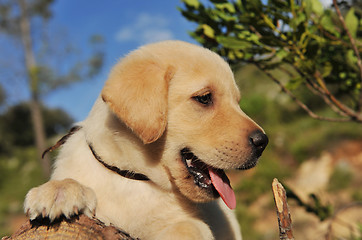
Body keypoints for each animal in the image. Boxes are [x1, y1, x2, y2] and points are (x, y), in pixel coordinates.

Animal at [24, 40, 268, 239]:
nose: (263, 142)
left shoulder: (187, 223)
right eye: (204, 98)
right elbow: (68, 181)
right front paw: (58, 191)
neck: (133, 177)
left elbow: (188, 228)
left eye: (237, 102)